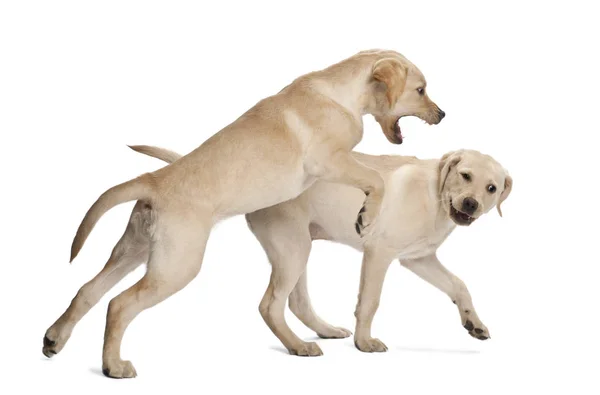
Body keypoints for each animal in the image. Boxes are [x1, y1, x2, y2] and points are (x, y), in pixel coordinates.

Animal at [43, 48, 446, 378]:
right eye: (421, 90)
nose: (442, 114)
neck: (339, 91)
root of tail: (153, 182)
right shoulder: (330, 162)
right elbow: (375, 179)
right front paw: (367, 214)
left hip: (133, 251)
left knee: (88, 291)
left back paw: (54, 339)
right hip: (177, 267)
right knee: (120, 304)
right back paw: (113, 366)